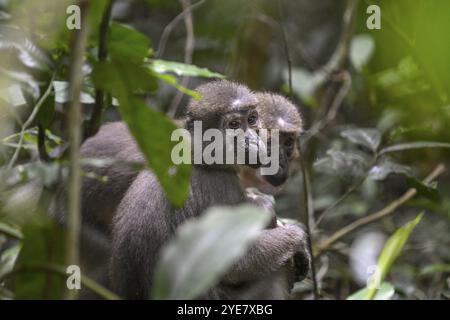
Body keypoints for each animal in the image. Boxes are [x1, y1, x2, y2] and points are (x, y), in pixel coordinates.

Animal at [109, 80, 308, 300]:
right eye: (233, 125)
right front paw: (297, 237)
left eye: (252, 119)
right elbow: (236, 265)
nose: (254, 141)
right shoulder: (220, 186)